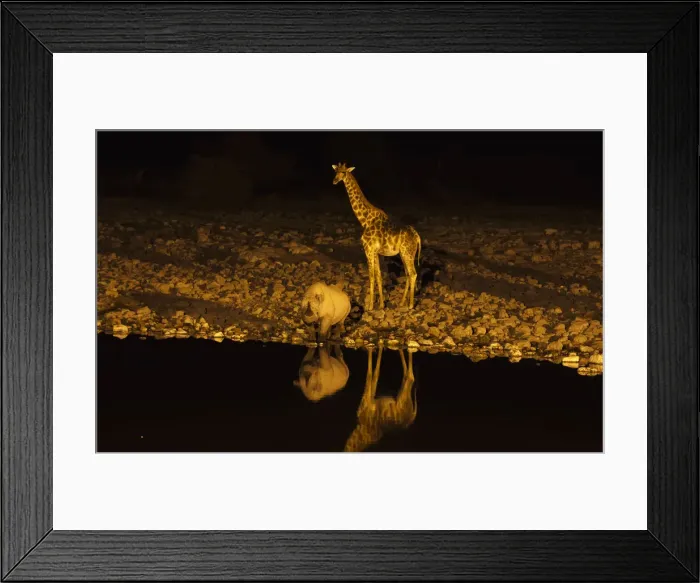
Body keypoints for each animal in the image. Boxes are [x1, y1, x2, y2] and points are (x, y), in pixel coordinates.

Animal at [332, 163, 421, 311]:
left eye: (344, 172)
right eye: (336, 171)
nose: (334, 181)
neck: (365, 220)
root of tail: (418, 237)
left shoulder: (368, 249)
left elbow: (371, 276)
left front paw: (369, 306)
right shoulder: (375, 252)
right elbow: (379, 275)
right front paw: (380, 304)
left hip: (407, 253)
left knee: (413, 274)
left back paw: (410, 305)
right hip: (405, 254)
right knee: (408, 274)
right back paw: (402, 302)